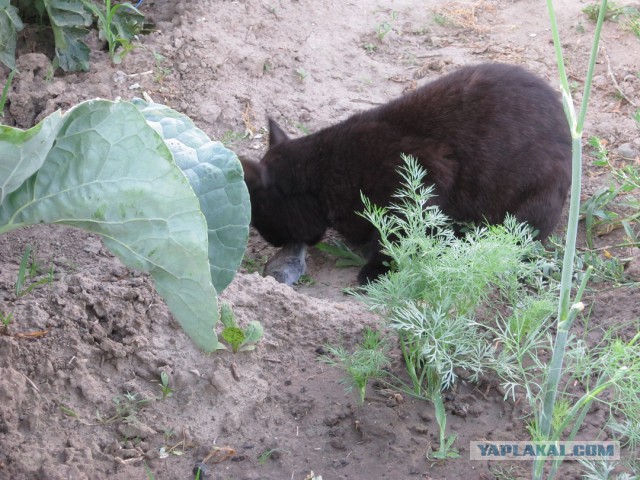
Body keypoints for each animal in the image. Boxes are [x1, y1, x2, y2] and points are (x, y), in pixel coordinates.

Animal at [242, 62, 572, 284]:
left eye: (259, 220)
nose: (272, 242)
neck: (324, 173)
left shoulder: (426, 176)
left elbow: (395, 238)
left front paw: (376, 270)